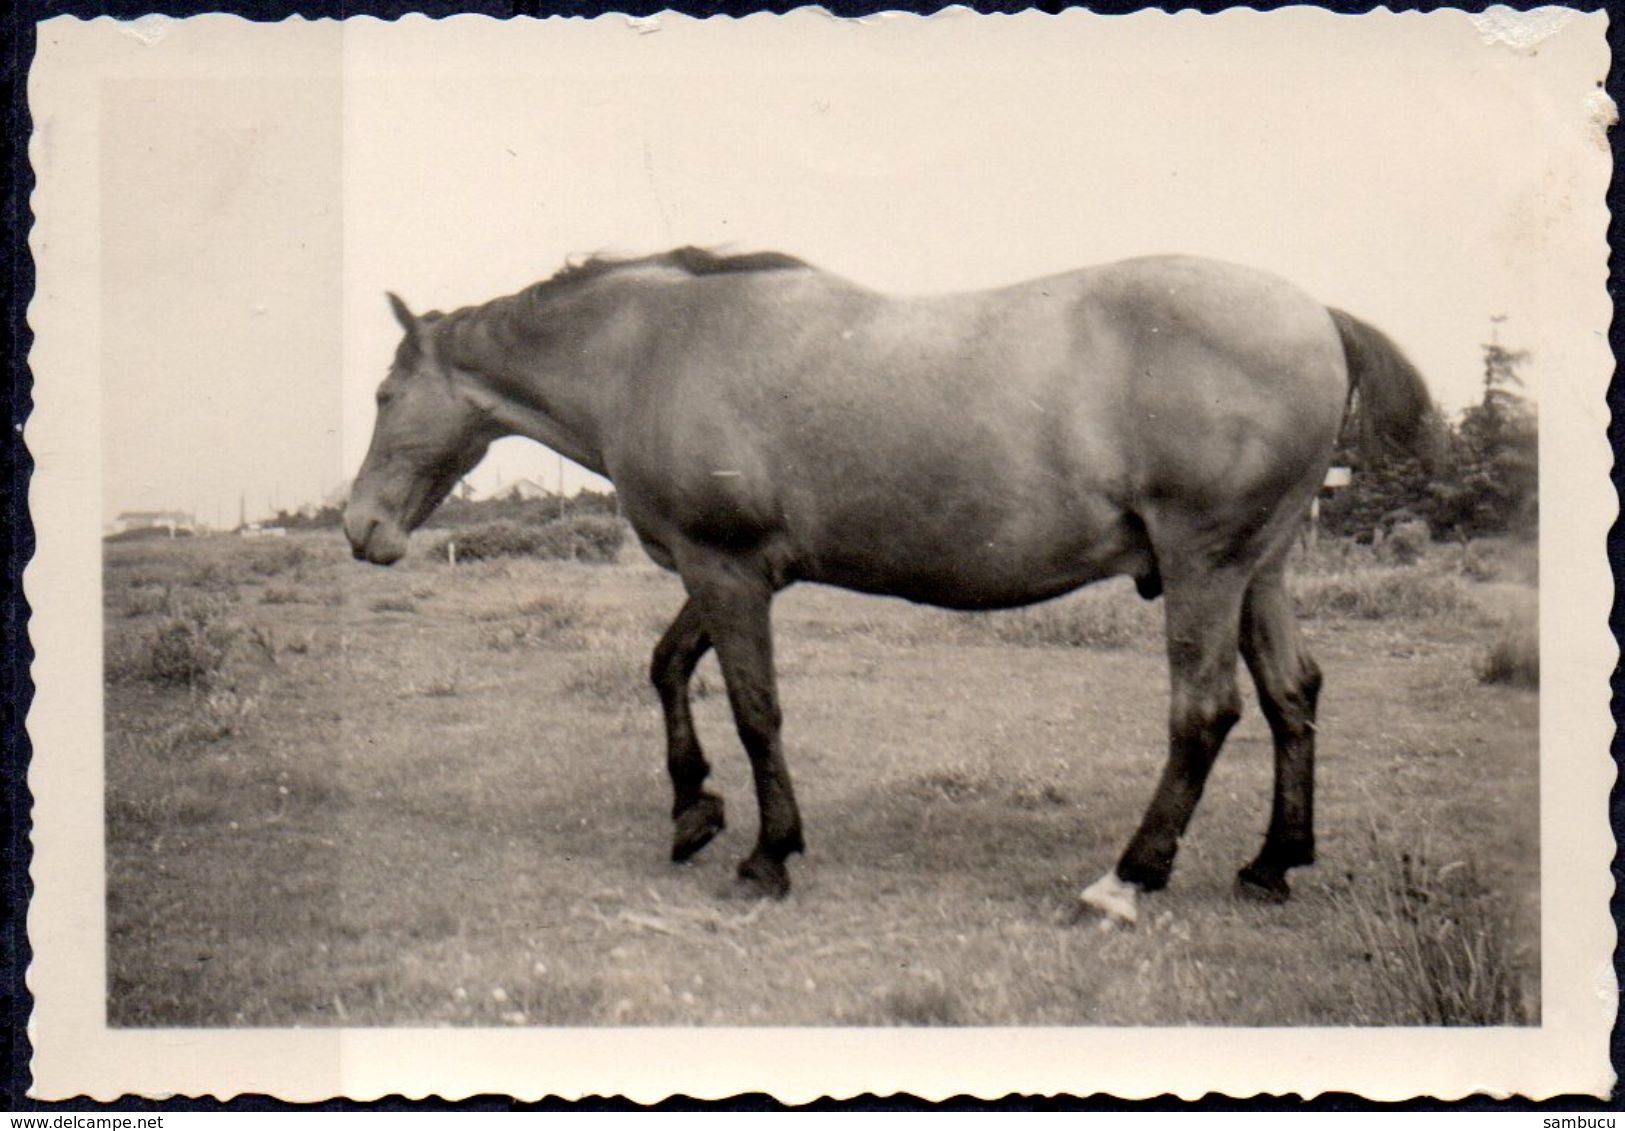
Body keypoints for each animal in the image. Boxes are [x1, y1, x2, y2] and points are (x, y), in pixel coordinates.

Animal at [346, 245, 1436, 916]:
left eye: (385, 392)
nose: (361, 527)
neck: (655, 347)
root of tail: (1316, 316)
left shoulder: (727, 569)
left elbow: (753, 707)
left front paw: (766, 853)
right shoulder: (726, 571)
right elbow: (666, 667)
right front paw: (694, 810)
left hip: (1204, 565)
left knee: (1203, 713)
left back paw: (1126, 879)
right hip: (1260, 567)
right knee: (1291, 694)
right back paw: (1270, 863)